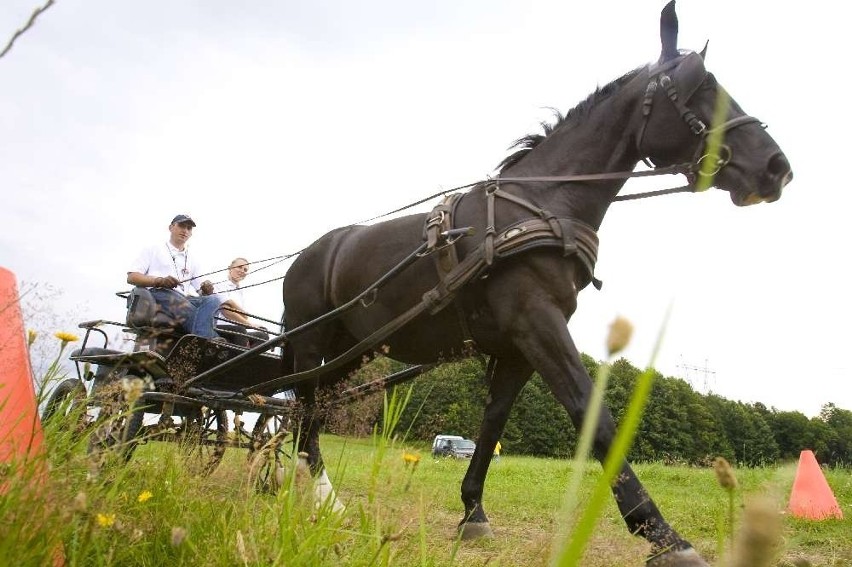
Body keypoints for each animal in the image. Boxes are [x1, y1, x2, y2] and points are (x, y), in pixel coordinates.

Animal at [280, 3, 792, 564]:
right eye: (701, 89)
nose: (777, 167)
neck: (545, 205)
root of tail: (306, 256)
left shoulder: (516, 348)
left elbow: (493, 424)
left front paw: (473, 513)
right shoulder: (538, 325)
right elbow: (593, 415)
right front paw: (661, 533)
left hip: (351, 350)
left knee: (303, 408)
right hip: (310, 342)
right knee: (304, 409)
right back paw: (324, 499)